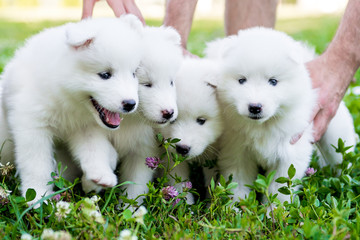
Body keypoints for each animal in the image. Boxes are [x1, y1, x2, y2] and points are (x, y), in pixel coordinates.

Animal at [1, 15, 145, 203]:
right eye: (105, 75)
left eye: (134, 74)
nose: (130, 104)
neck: (69, 99)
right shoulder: (32, 127)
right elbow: (37, 165)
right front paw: (37, 198)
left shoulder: (84, 127)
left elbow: (94, 148)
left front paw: (101, 174)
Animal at [160, 57, 224, 202]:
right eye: (172, 119)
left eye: (201, 120)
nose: (182, 148)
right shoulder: (171, 156)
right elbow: (179, 183)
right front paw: (185, 205)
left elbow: (212, 183)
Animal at [210, 28, 356, 204]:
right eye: (241, 80)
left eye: (273, 81)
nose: (255, 107)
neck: (263, 126)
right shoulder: (236, 152)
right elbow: (237, 183)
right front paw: (238, 206)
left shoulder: (289, 155)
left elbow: (279, 190)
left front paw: (273, 210)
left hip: (336, 140)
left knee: (341, 161)